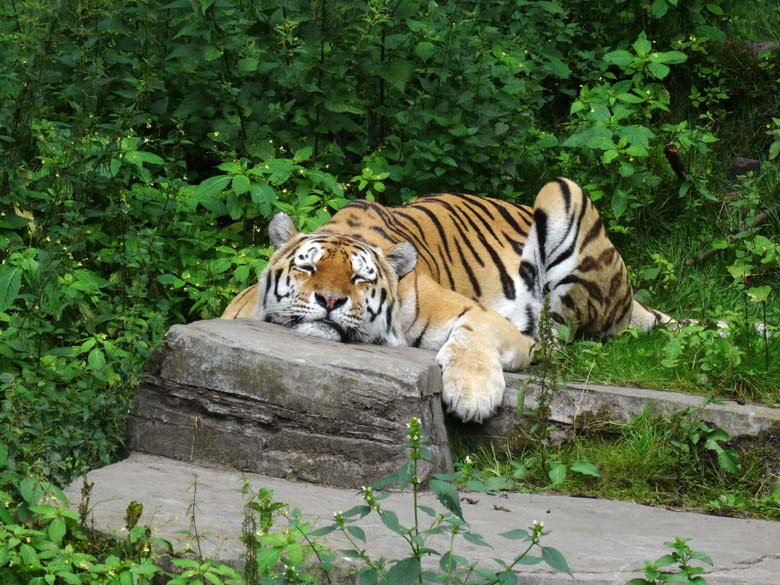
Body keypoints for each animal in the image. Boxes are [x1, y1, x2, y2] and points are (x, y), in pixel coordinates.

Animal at [222, 176, 672, 422]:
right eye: (308, 268)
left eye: (359, 277)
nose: (330, 300)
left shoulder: (478, 315)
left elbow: (474, 334)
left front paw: (471, 396)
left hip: (563, 191)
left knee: (565, 335)